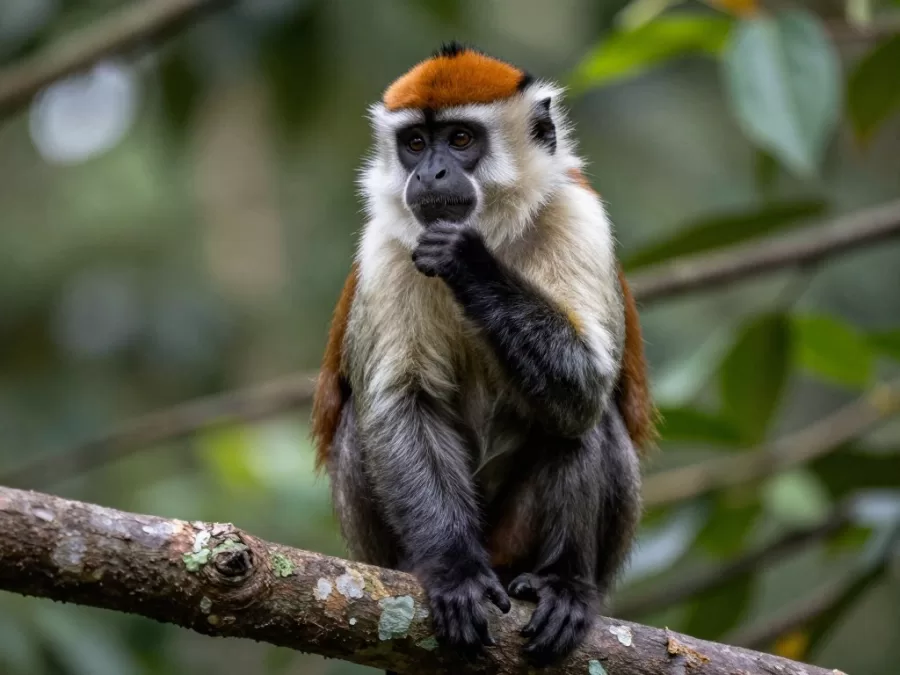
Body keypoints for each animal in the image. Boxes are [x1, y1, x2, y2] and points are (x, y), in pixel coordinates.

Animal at [311, 42, 656, 666]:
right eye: (415, 143)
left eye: (461, 138)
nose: (430, 172)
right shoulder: (384, 248)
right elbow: (404, 403)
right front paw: (454, 573)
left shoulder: (578, 216)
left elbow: (585, 388)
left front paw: (467, 262)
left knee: (583, 419)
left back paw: (560, 583)